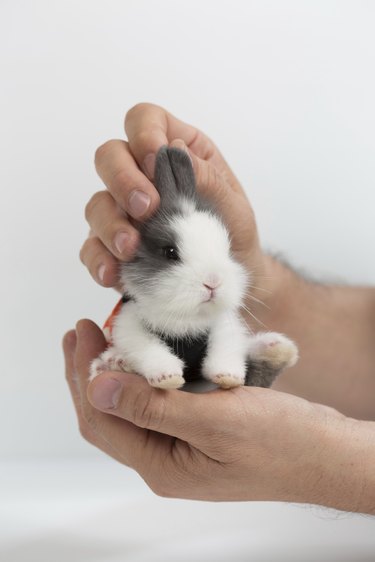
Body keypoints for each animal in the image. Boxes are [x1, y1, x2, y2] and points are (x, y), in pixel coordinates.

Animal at [89, 147, 298, 388]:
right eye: (170, 252)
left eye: (227, 249)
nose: (213, 282)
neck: (187, 318)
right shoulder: (129, 324)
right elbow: (149, 349)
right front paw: (167, 378)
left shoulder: (223, 327)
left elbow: (225, 351)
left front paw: (229, 376)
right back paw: (114, 363)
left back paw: (276, 349)